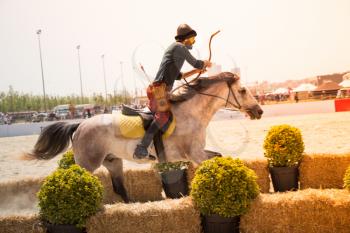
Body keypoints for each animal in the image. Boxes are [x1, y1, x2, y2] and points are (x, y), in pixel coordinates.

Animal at [29, 72, 262, 202]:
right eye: (243, 90)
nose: (259, 111)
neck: (191, 113)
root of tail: (80, 124)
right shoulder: (195, 153)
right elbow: (212, 162)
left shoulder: (196, 153)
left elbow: (218, 157)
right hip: (88, 163)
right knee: (79, 178)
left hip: (113, 161)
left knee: (119, 188)